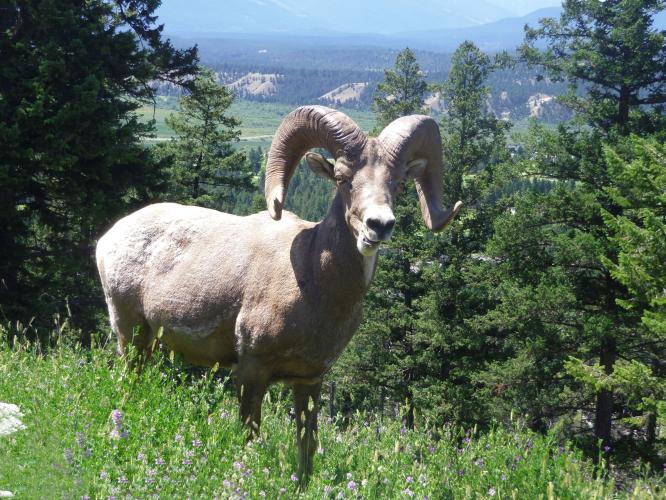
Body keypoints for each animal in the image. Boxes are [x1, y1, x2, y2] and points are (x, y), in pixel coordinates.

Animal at [96, 105, 460, 480]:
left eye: (399, 184)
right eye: (342, 178)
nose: (380, 226)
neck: (314, 283)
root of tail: (109, 237)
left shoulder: (310, 380)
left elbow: (306, 449)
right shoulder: (252, 369)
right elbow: (249, 436)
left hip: (149, 341)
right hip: (129, 332)